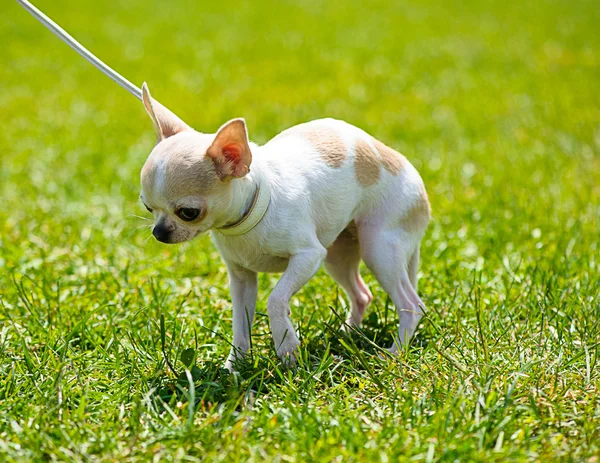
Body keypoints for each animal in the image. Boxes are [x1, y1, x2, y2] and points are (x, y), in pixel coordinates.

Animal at [139, 83, 432, 372]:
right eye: (147, 207)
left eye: (189, 213)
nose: (159, 232)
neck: (253, 211)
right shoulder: (242, 278)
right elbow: (240, 323)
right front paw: (236, 366)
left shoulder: (308, 256)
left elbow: (276, 298)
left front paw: (287, 346)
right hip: (338, 254)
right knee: (362, 294)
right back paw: (346, 335)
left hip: (378, 246)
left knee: (411, 304)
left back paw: (395, 352)